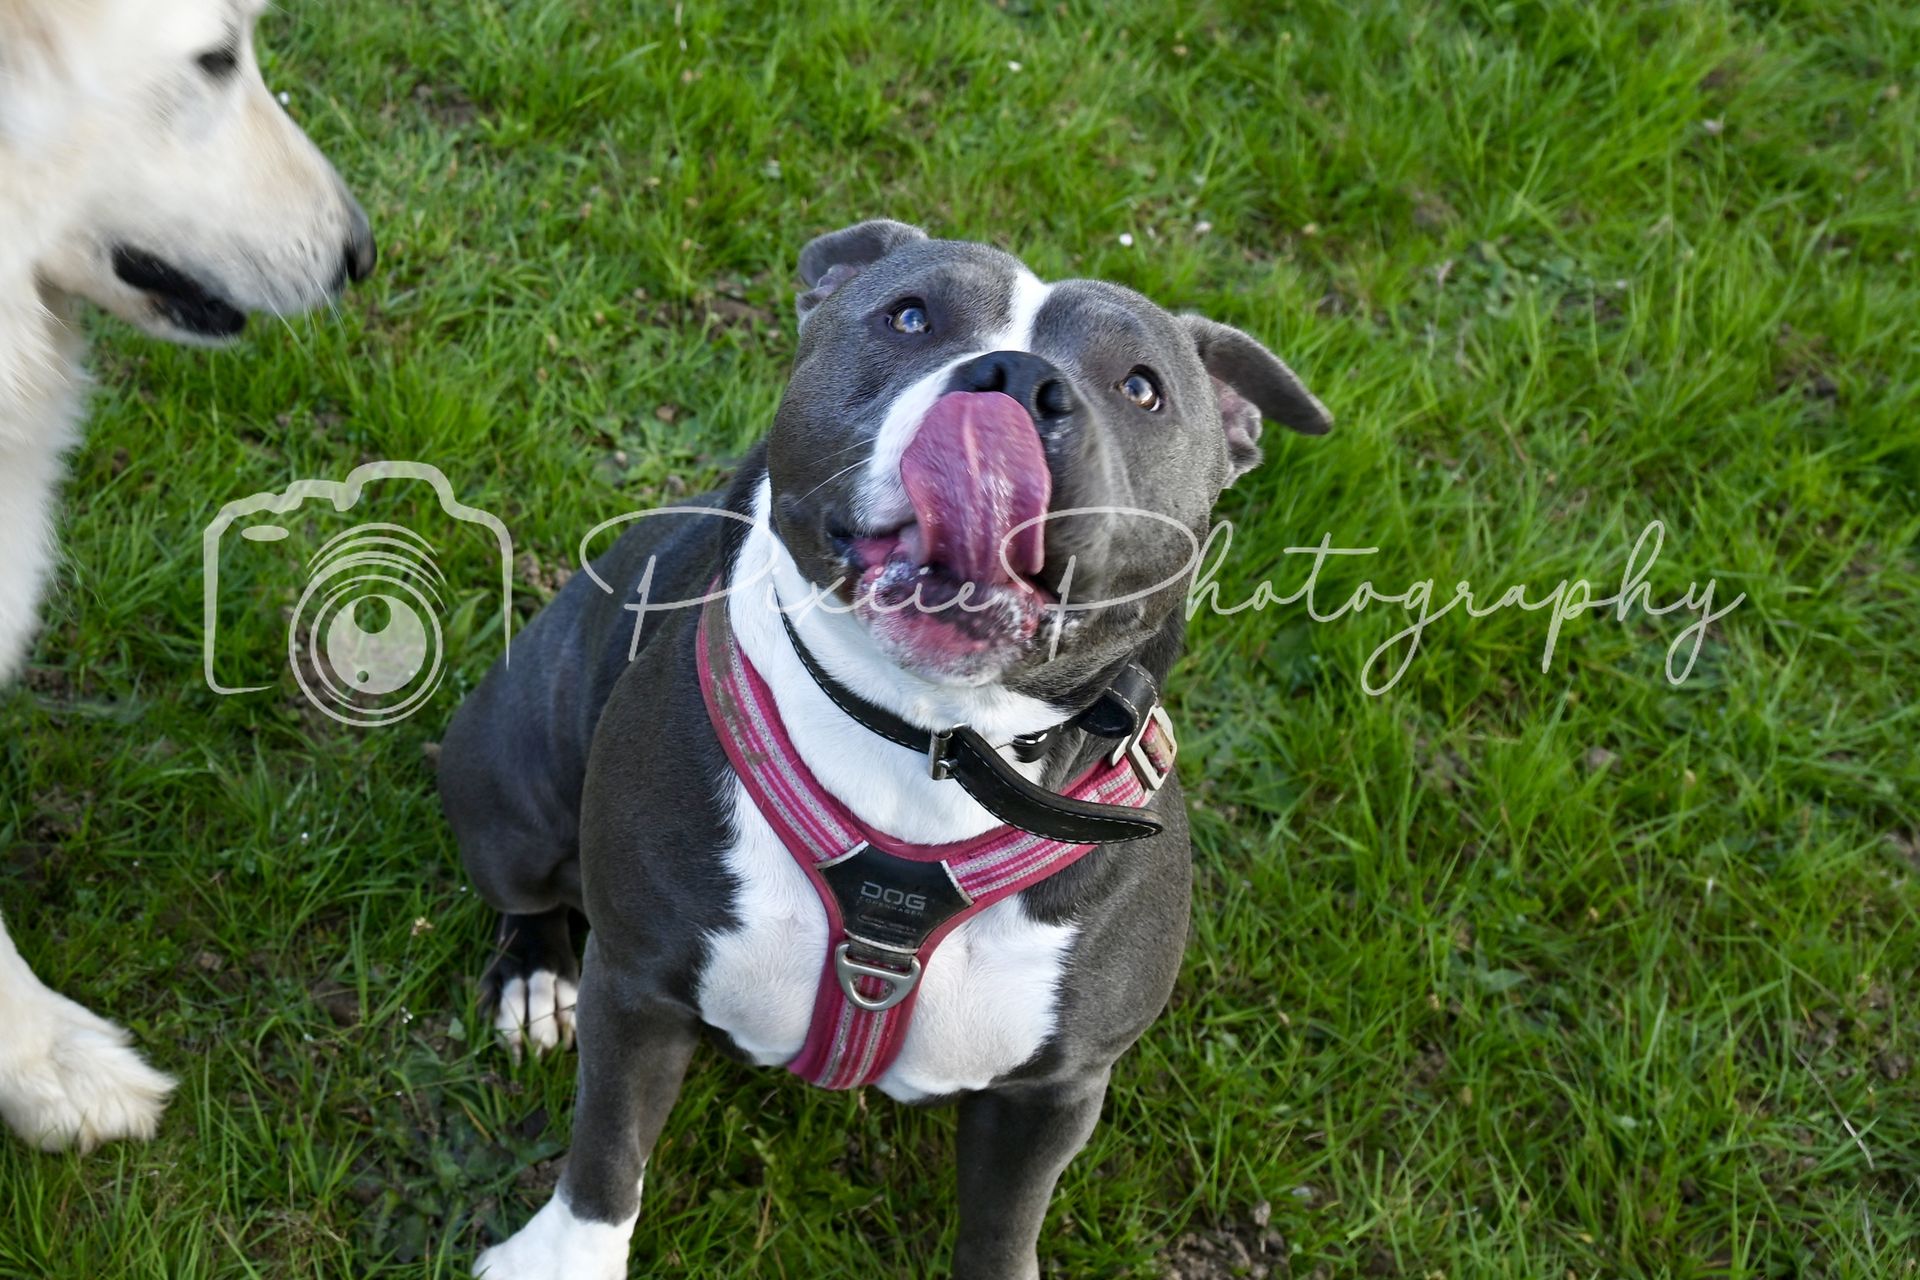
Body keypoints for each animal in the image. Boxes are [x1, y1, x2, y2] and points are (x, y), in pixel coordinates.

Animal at [440, 219, 1329, 1280]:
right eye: (910, 318)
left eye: (1143, 388)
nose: (1015, 380)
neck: (929, 741)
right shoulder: (639, 983)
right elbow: (608, 1145)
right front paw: (563, 1257)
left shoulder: (1053, 1090)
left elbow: (1003, 1225)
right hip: (513, 782)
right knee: (528, 895)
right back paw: (535, 982)